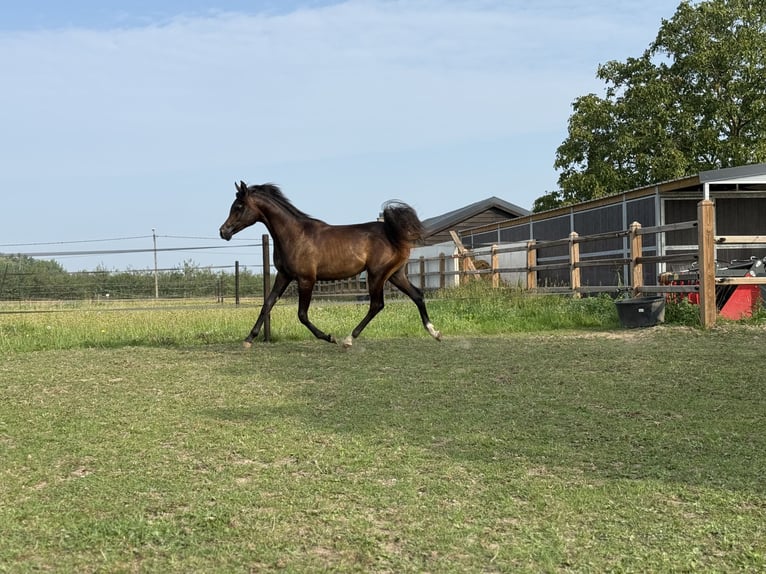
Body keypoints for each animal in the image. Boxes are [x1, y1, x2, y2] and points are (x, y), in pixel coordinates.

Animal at [219, 181, 442, 348]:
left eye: (238, 207)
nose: (223, 231)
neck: (294, 235)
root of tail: (393, 232)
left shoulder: (306, 279)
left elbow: (302, 314)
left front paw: (329, 337)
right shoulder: (284, 275)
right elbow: (267, 303)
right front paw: (249, 339)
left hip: (376, 275)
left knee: (377, 304)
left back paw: (348, 340)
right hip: (395, 274)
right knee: (417, 295)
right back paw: (435, 332)